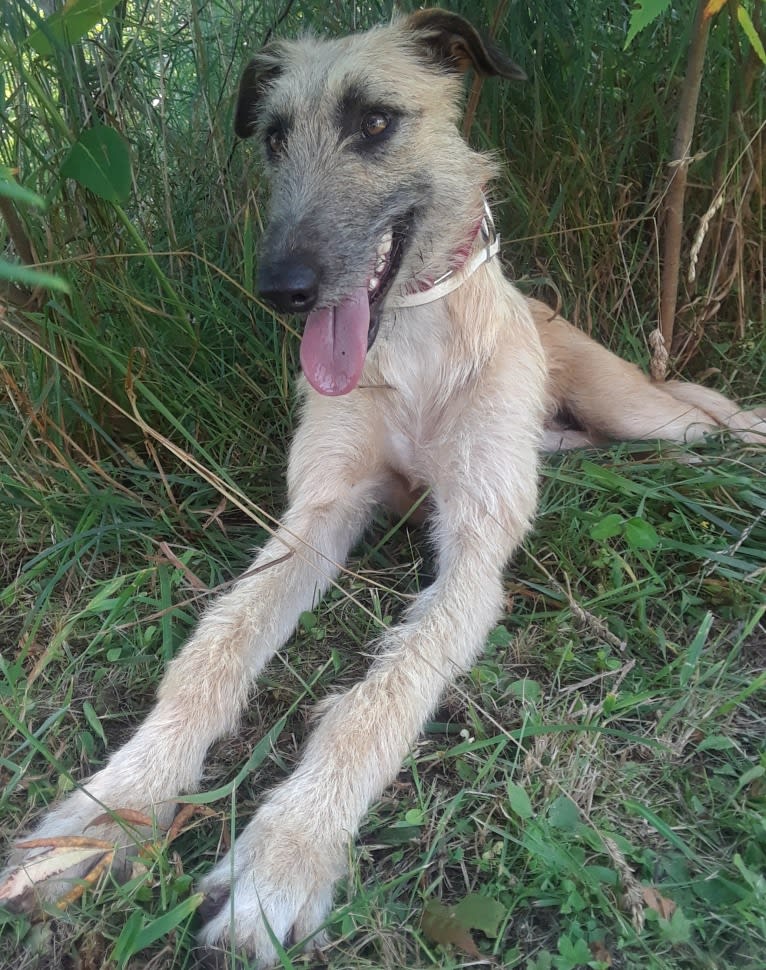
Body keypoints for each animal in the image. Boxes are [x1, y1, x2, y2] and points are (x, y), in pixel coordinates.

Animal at [3, 9, 764, 968]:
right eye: (275, 138)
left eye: (374, 122)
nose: (282, 289)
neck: (414, 341)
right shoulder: (315, 513)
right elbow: (212, 654)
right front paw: (110, 810)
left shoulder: (474, 551)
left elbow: (377, 699)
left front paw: (284, 856)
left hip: (646, 414)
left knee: (712, 420)